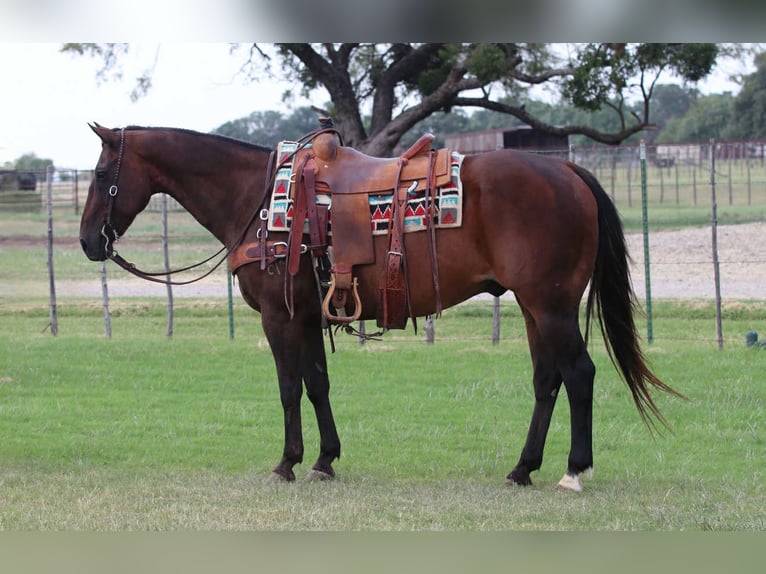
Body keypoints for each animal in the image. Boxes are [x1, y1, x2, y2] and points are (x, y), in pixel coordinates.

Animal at [79, 123, 683, 491]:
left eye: (103, 175)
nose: (87, 242)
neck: (259, 199)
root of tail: (567, 172)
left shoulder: (280, 317)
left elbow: (289, 388)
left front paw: (286, 463)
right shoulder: (308, 315)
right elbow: (317, 384)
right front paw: (324, 460)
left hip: (552, 306)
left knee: (579, 375)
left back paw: (573, 472)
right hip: (537, 310)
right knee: (547, 381)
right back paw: (522, 469)